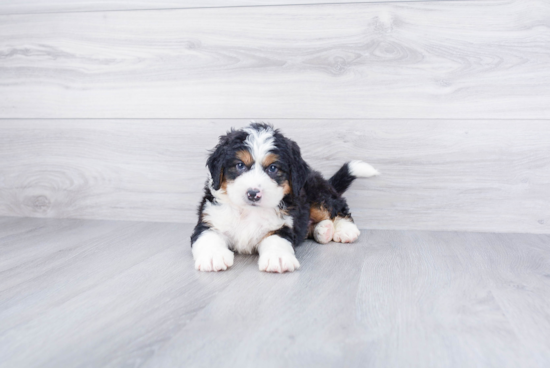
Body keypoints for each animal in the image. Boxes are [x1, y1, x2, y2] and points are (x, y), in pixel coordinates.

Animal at [191, 123, 380, 274]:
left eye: (273, 168)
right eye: (239, 165)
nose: (253, 193)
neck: (249, 211)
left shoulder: (282, 225)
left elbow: (276, 240)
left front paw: (278, 258)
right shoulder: (210, 219)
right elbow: (208, 236)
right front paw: (213, 256)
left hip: (316, 193)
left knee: (337, 206)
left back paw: (345, 230)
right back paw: (323, 231)